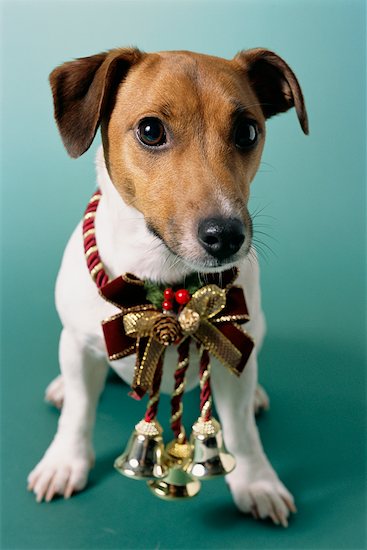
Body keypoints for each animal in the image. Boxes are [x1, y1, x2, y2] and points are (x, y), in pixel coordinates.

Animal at [27, 46, 308, 528]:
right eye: (150, 130)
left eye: (248, 131)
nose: (226, 235)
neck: (168, 285)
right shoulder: (79, 343)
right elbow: (79, 412)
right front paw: (65, 461)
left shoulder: (234, 350)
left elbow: (243, 433)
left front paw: (257, 482)